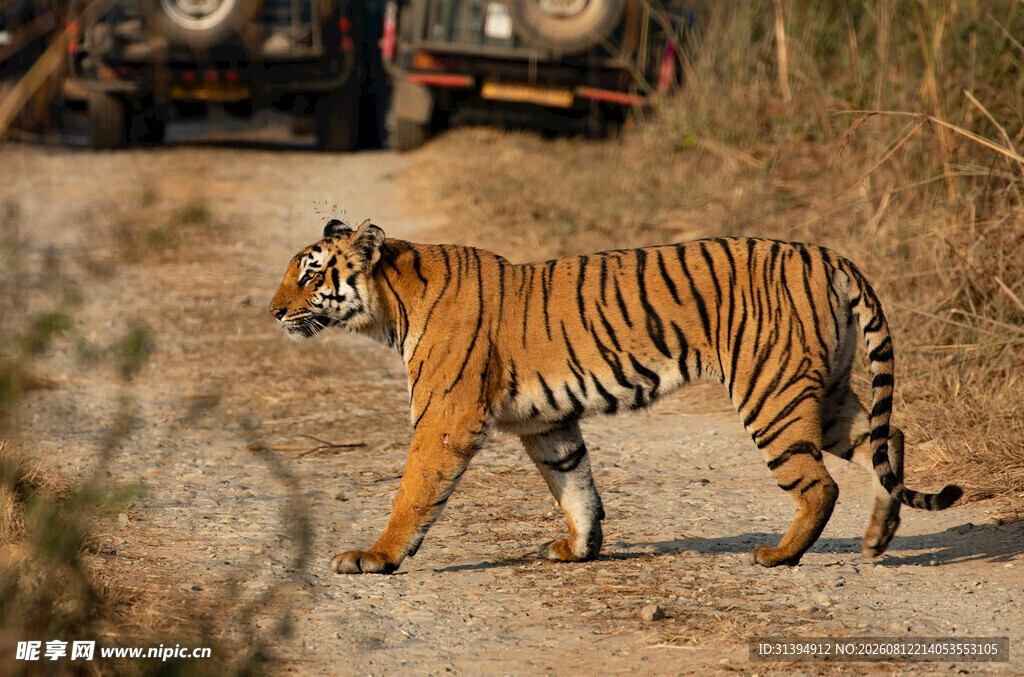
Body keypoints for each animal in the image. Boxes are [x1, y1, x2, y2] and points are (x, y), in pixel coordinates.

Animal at [269, 218, 962, 574]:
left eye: (310, 274)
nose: (273, 311)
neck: (391, 304)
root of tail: (827, 254)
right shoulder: (546, 423)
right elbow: (575, 485)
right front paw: (578, 550)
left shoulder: (447, 417)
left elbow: (414, 493)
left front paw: (376, 557)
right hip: (821, 394)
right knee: (889, 438)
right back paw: (877, 538)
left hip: (772, 394)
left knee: (820, 484)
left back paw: (779, 554)